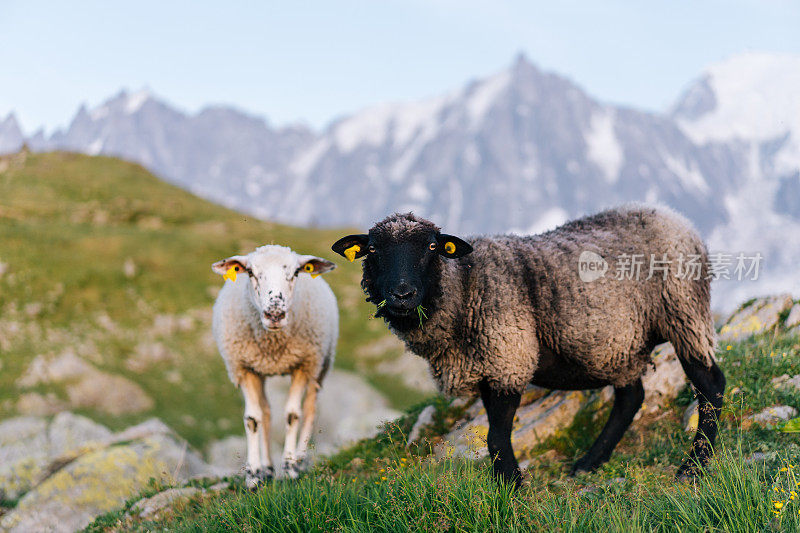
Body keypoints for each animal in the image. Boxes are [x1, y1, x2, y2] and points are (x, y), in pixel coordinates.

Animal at [211, 244, 336, 486]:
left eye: (296, 272)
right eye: (250, 272)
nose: (275, 314)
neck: (273, 345)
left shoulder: (302, 365)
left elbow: (292, 415)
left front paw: (290, 469)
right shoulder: (244, 368)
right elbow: (253, 419)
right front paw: (253, 475)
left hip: (320, 364)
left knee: (310, 409)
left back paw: (300, 460)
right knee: (266, 412)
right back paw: (268, 469)